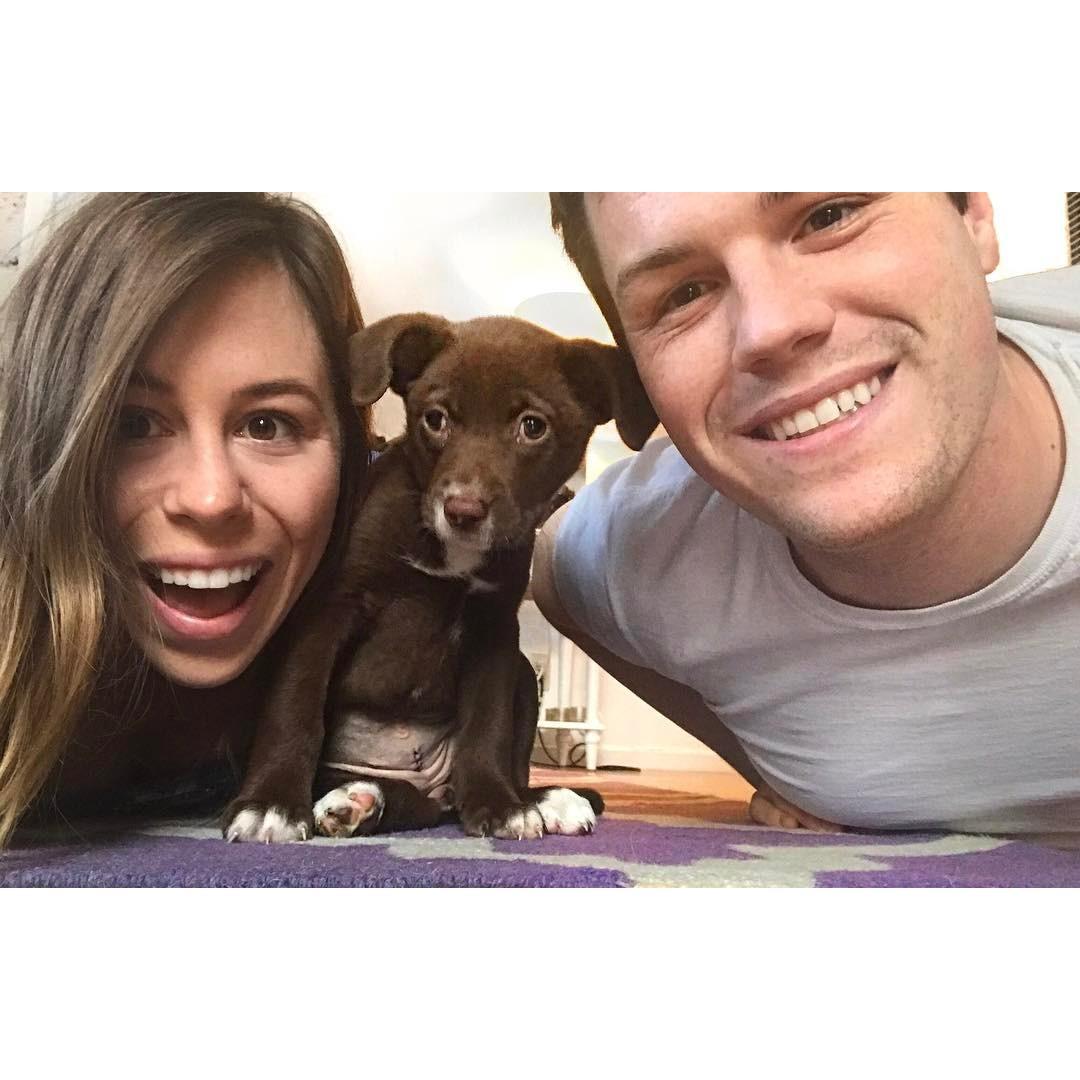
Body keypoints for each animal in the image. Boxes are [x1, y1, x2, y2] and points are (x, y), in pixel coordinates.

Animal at [222, 313, 657, 842]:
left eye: (532, 427)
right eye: (435, 419)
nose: (463, 510)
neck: (449, 553)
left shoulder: (495, 629)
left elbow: (487, 725)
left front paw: (500, 804)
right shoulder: (330, 608)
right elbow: (295, 705)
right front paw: (271, 803)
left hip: (523, 676)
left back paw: (539, 799)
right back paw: (354, 800)